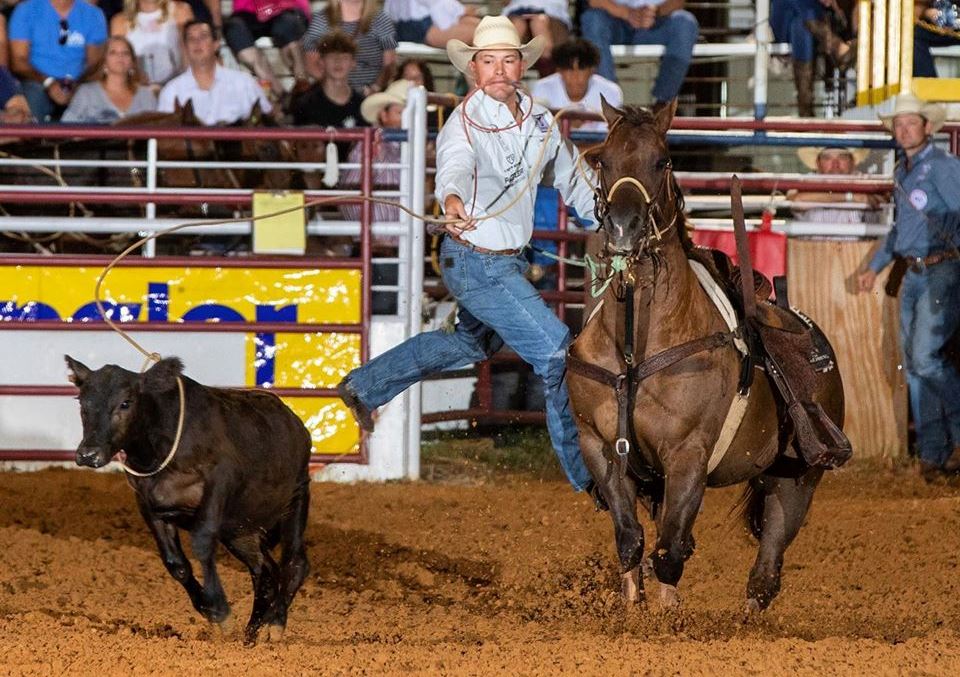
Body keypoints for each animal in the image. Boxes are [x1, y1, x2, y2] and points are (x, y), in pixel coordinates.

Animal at [568, 99, 844, 612]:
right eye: (604, 161)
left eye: (662, 160)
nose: (623, 228)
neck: (637, 346)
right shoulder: (598, 444)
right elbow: (631, 541)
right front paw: (631, 610)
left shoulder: (688, 454)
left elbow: (669, 552)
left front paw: (668, 615)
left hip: (797, 480)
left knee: (765, 571)